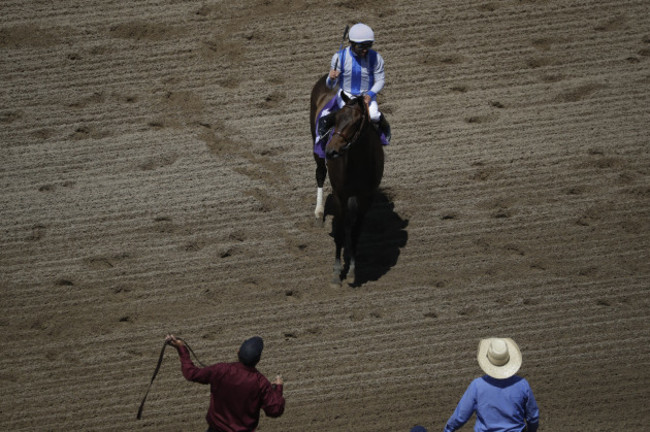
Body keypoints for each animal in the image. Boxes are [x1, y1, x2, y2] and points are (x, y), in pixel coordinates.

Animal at [308, 74, 382, 284]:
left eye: (356, 122)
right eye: (336, 118)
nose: (331, 151)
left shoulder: (367, 197)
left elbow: (356, 232)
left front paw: (352, 270)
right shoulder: (340, 194)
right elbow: (340, 232)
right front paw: (336, 272)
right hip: (315, 146)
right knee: (320, 173)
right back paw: (319, 212)